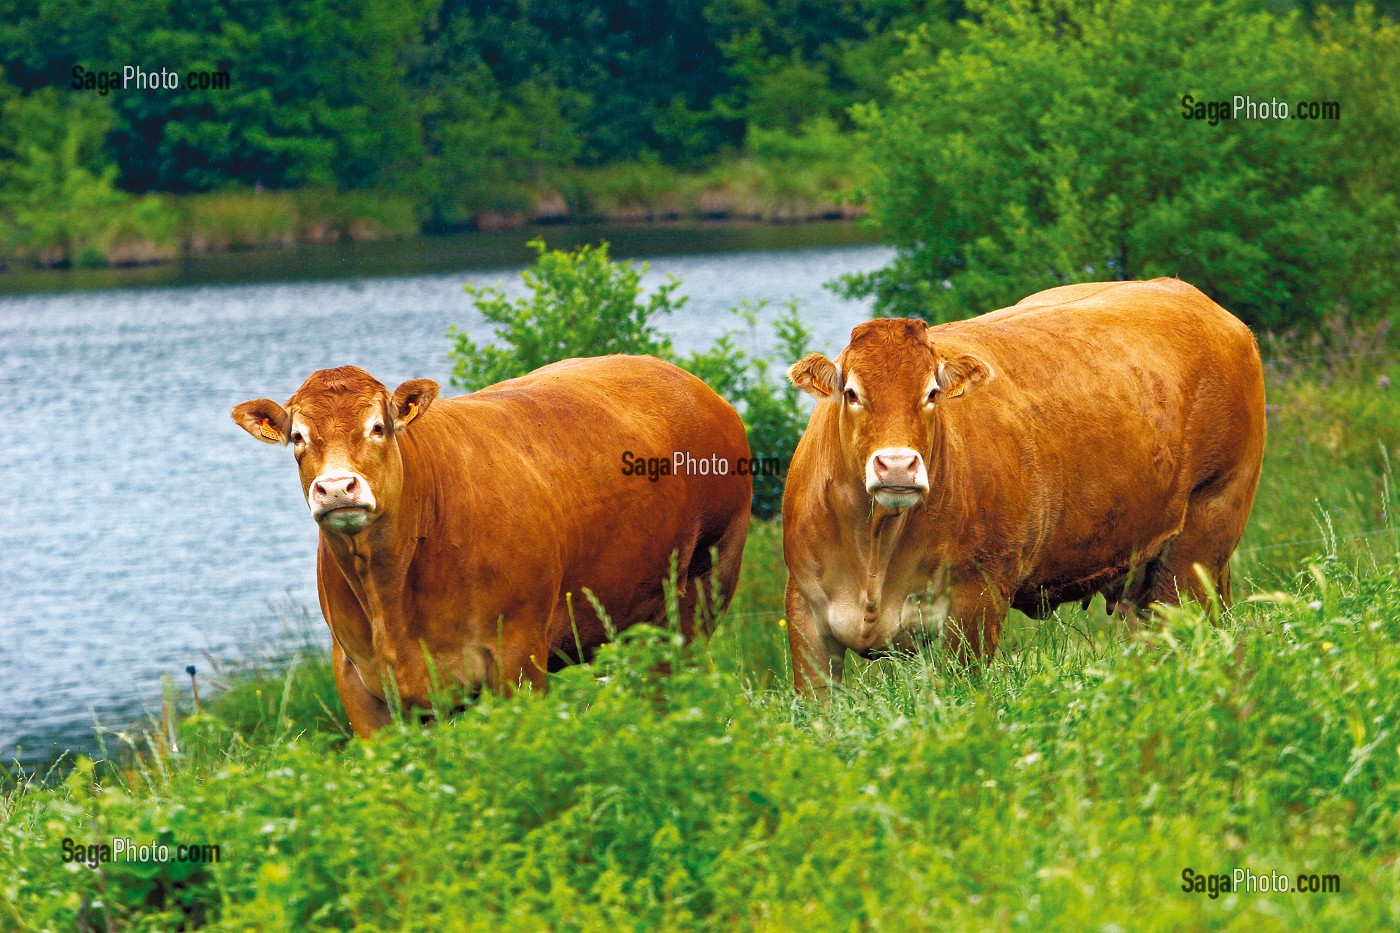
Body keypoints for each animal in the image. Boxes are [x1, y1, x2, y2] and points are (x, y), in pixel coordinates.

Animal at [232, 355, 751, 735]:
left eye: (378, 427)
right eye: (298, 438)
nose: (337, 488)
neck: (389, 592)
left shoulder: (517, 655)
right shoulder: (357, 680)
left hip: (707, 583)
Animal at [782, 278, 1266, 692]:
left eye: (932, 393)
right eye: (851, 393)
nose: (897, 466)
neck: (874, 549)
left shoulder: (977, 600)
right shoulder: (804, 611)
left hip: (1205, 532)